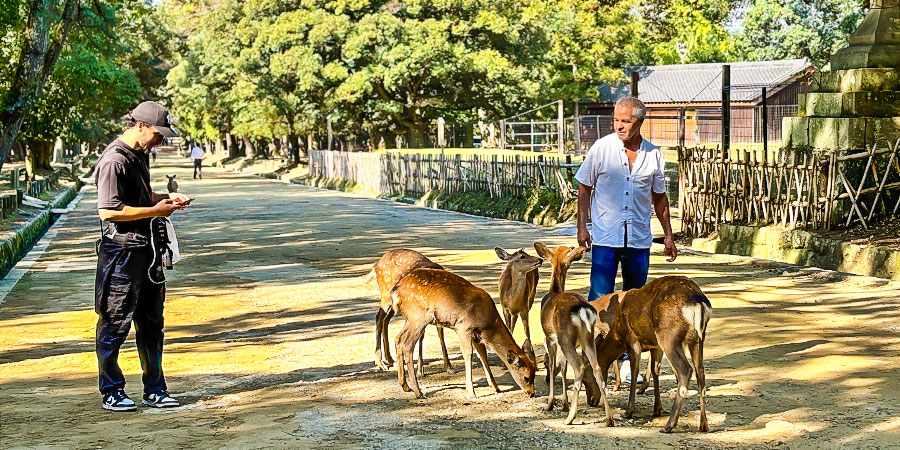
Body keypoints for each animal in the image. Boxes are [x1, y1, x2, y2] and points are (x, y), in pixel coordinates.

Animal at [388, 268, 536, 398]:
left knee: (398, 339)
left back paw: (405, 385)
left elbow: (483, 355)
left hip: (409, 319)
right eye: (526, 377)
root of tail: (396, 291)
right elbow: (468, 354)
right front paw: (471, 392)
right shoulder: (464, 327)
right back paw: (418, 392)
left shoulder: (477, 335)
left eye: (534, 373)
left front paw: (496, 388)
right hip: (418, 317)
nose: (532, 393)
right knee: (407, 344)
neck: (488, 324)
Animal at [536, 243, 604, 426]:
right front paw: (564, 404)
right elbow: (563, 368)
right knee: (596, 367)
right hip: (587, 338)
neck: (553, 291)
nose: (576, 246)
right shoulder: (559, 342)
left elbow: (553, 366)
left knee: (579, 367)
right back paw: (609, 419)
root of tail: (583, 310)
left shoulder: (550, 338)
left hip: (565, 337)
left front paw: (550, 404)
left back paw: (570, 418)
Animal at [596, 274, 712, 432]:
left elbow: (634, 370)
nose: (592, 401)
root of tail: (698, 303)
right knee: (700, 372)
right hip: (697, 339)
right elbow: (655, 369)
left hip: (668, 336)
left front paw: (629, 410)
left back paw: (669, 425)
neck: (619, 332)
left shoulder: (632, 340)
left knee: (686, 370)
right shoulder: (655, 345)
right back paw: (703, 424)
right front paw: (657, 409)